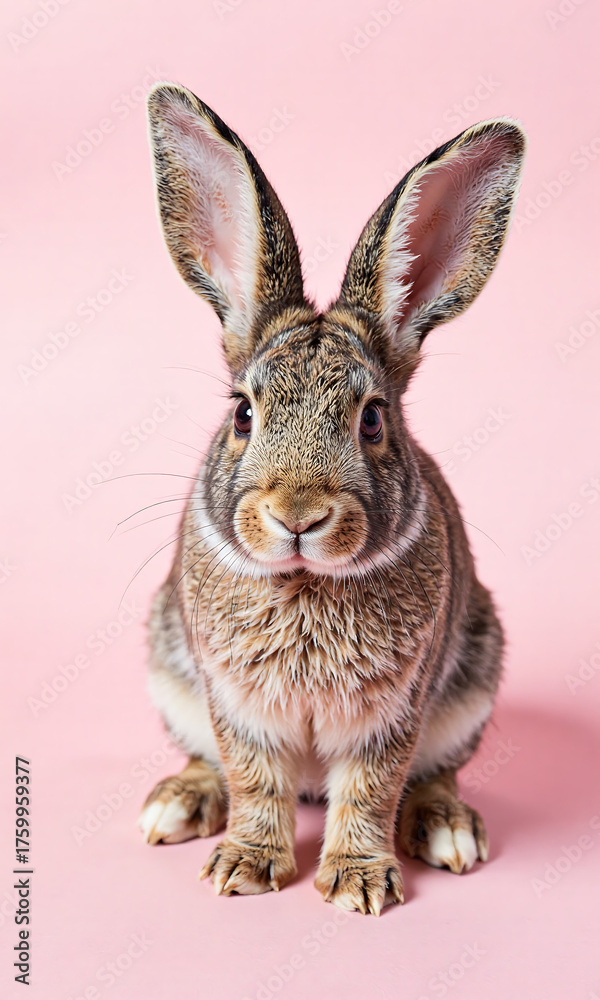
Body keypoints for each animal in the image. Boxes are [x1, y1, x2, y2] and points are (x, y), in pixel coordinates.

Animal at [137, 81, 526, 915]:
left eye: (372, 419)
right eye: (242, 412)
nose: (298, 515)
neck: (305, 582)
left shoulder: (392, 715)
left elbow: (372, 788)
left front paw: (357, 881)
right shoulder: (236, 710)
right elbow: (253, 781)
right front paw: (245, 867)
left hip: (472, 683)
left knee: (436, 774)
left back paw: (450, 829)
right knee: (205, 762)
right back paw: (176, 806)